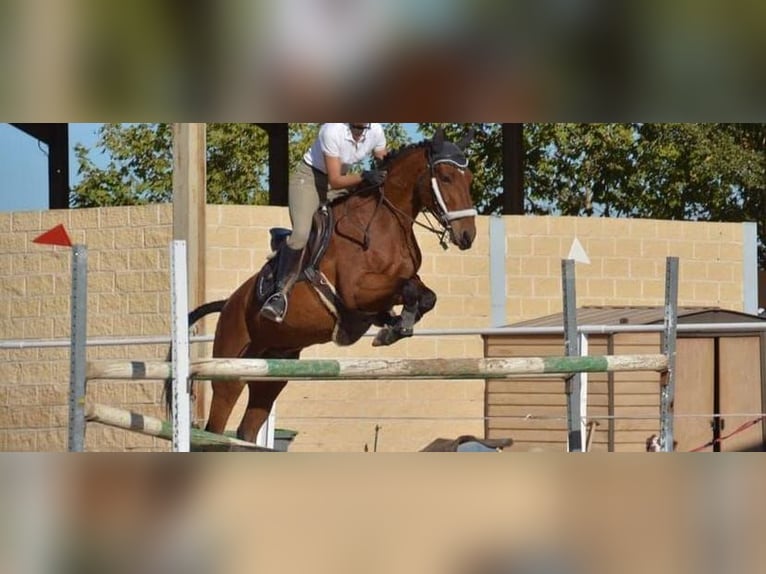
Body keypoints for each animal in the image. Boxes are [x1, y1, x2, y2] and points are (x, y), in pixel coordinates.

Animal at [172, 129, 480, 446]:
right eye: (445, 177)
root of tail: (229, 304)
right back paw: (273, 306)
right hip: (230, 368)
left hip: (272, 372)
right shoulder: (356, 290)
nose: (467, 235)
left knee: (248, 427)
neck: (387, 223)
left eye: (469, 178)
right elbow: (407, 288)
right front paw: (394, 328)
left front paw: (397, 325)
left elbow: (425, 295)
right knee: (218, 421)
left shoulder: (393, 286)